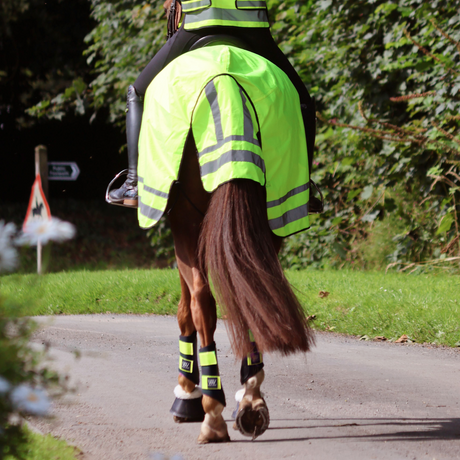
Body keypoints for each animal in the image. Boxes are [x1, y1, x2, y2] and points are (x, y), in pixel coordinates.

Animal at [137, 41, 316, 444]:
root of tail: (226, 77)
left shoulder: (181, 231)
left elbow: (185, 310)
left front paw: (186, 394)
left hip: (187, 224)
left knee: (203, 301)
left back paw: (212, 411)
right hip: (270, 220)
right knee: (253, 293)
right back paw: (250, 400)